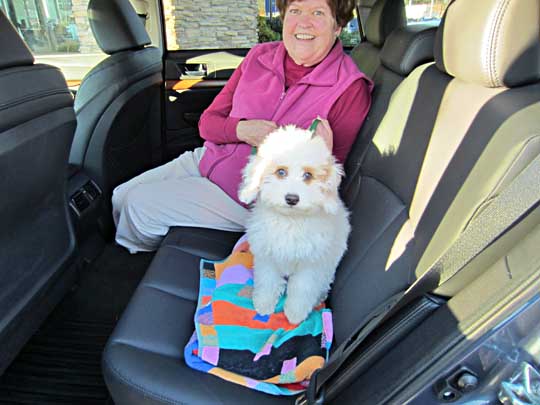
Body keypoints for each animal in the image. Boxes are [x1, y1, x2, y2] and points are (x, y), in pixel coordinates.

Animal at [239, 124, 350, 324]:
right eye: (281, 172)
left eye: (308, 175)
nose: (292, 198)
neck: (290, 220)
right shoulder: (267, 257)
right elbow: (267, 281)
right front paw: (264, 304)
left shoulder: (311, 265)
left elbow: (302, 289)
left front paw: (295, 313)